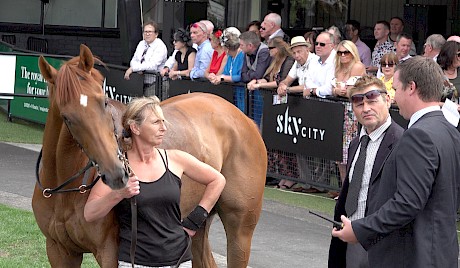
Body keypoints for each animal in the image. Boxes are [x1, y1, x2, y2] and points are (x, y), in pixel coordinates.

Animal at [33, 45, 266, 266]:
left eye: (104, 102)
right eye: (67, 117)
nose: (116, 174)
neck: (65, 191)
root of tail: (245, 119)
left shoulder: (109, 252)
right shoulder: (59, 251)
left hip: (240, 230)